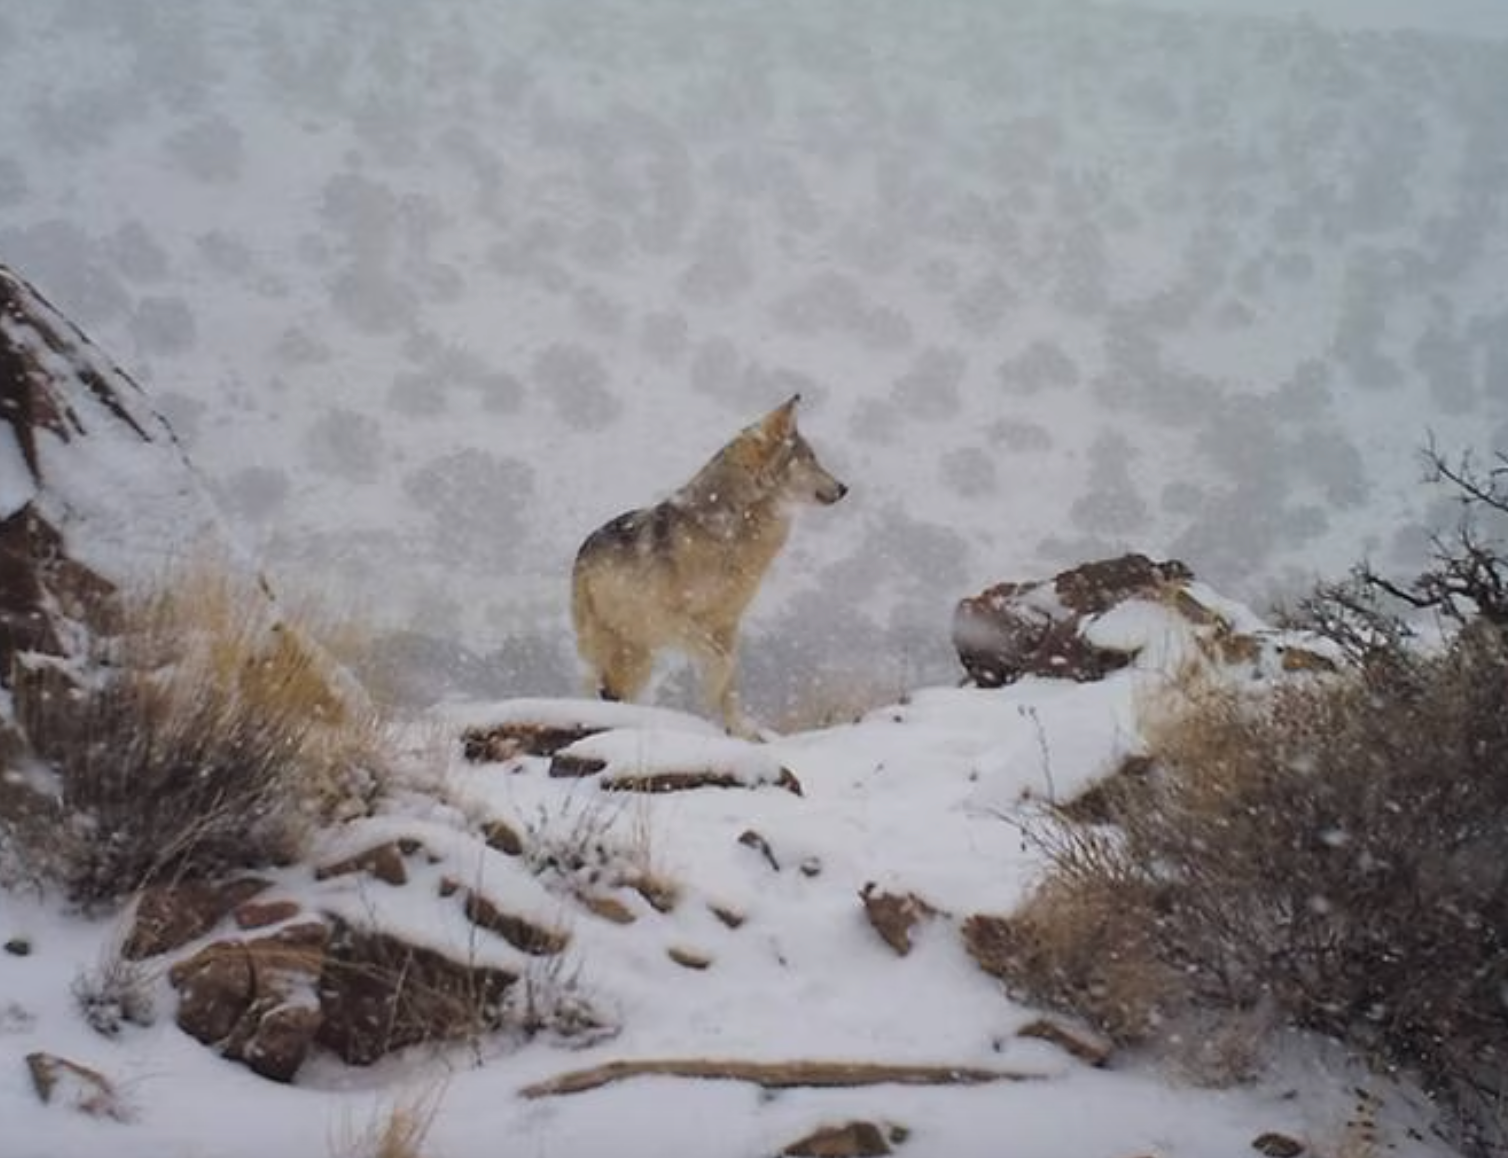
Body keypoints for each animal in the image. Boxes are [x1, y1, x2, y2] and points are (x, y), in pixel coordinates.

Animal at [567, 392, 844, 735]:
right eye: (811, 458)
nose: (844, 488)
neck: (733, 524)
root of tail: (583, 548)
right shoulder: (672, 617)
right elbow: (720, 664)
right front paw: (709, 701)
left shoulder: (727, 624)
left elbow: (730, 677)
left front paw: (739, 731)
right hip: (616, 645)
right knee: (602, 686)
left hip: (639, 655)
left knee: (615, 690)